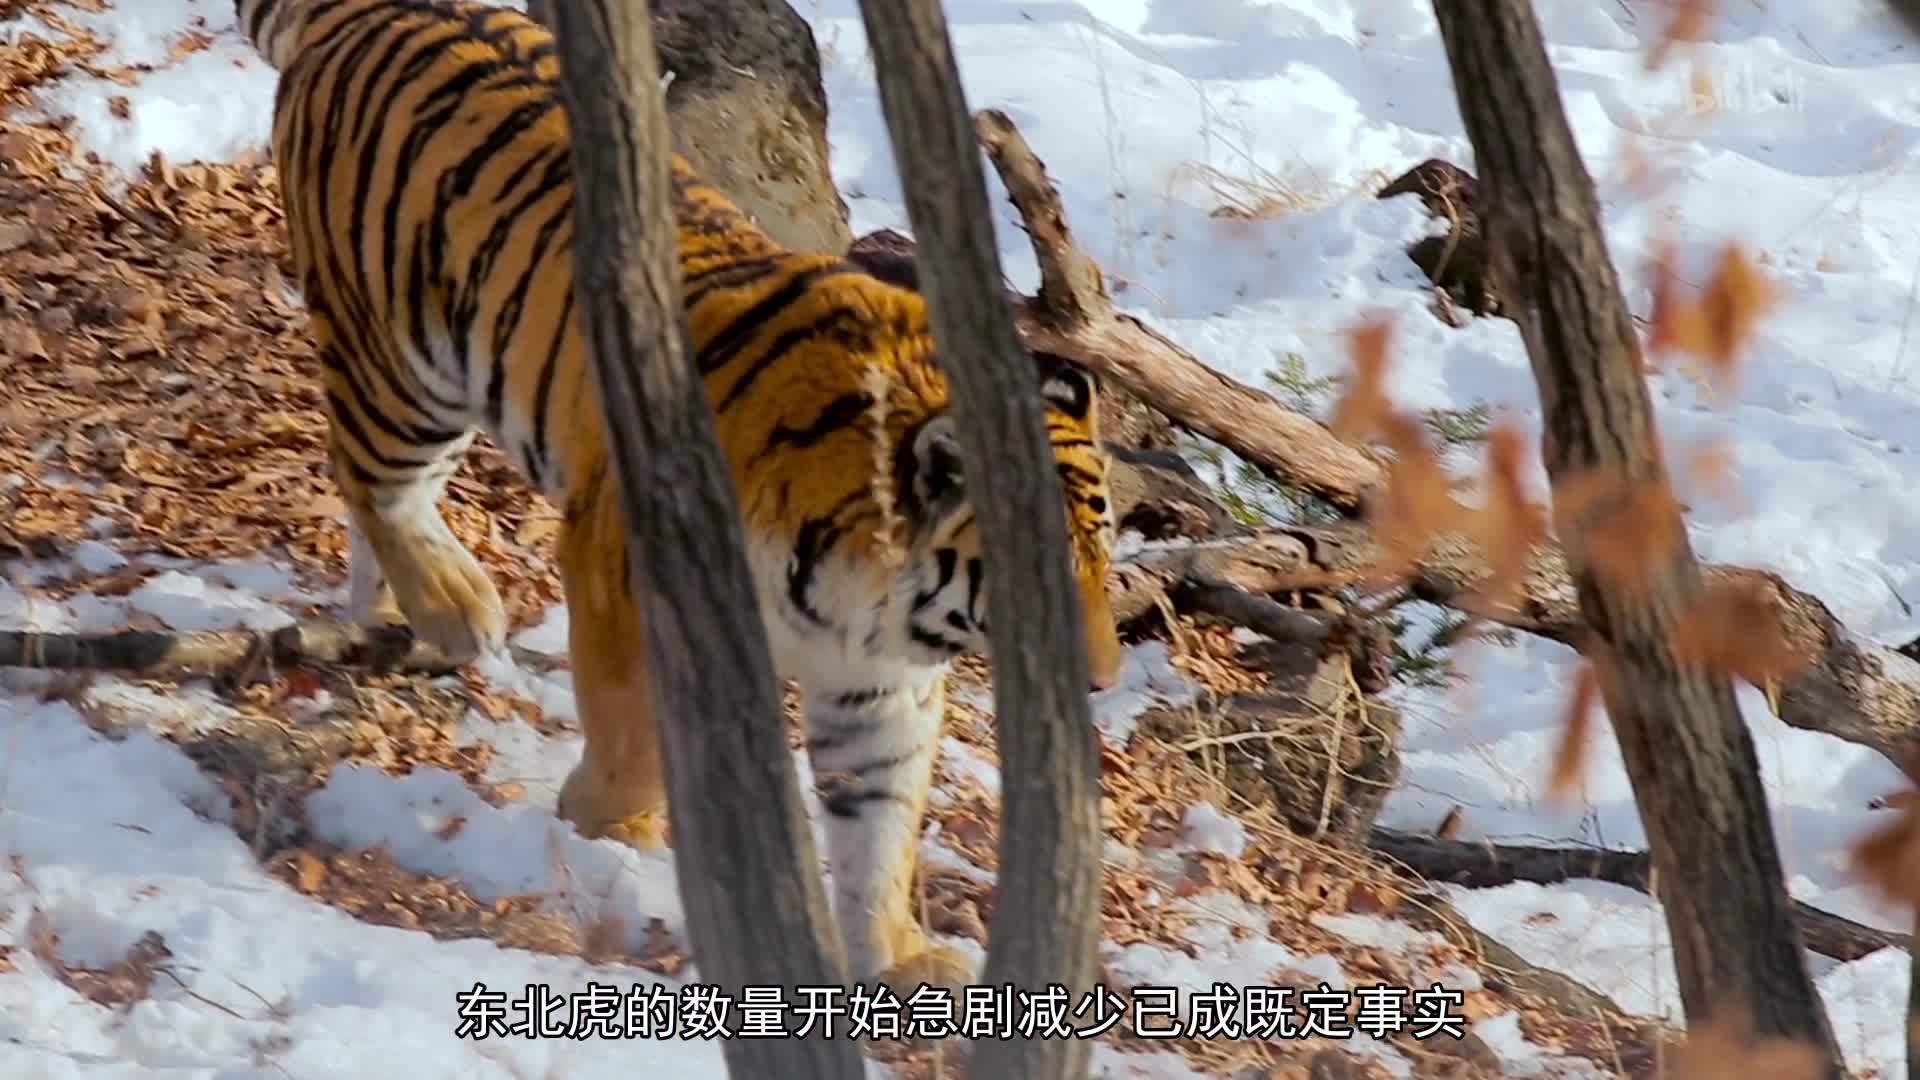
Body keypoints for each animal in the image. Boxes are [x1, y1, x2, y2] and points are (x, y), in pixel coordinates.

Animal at [234, 0, 1126, 992]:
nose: (1100, 683)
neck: (875, 591)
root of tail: (370, 8)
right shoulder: (629, 568)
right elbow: (636, 731)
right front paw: (612, 827)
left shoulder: (879, 683)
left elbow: (881, 826)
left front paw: (897, 955)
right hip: (404, 366)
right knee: (373, 475)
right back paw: (451, 607)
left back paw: (387, 608)